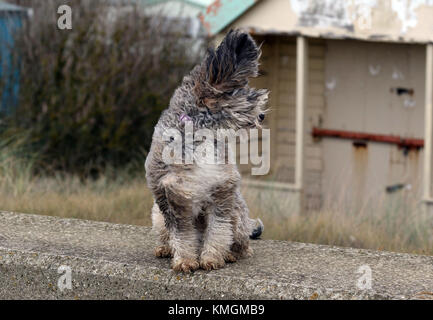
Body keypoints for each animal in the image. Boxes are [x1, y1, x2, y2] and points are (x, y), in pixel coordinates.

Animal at [145, 30, 266, 272]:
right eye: (236, 91)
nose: (262, 115)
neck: (200, 135)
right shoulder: (172, 196)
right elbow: (182, 234)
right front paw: (185, 261)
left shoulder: (222, 190)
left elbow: (218, 230)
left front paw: (211, 259)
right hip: (157, 215)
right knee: (167, 234)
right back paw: (165, 249)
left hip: (239, 216)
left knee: (240, 241)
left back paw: (232, 254)